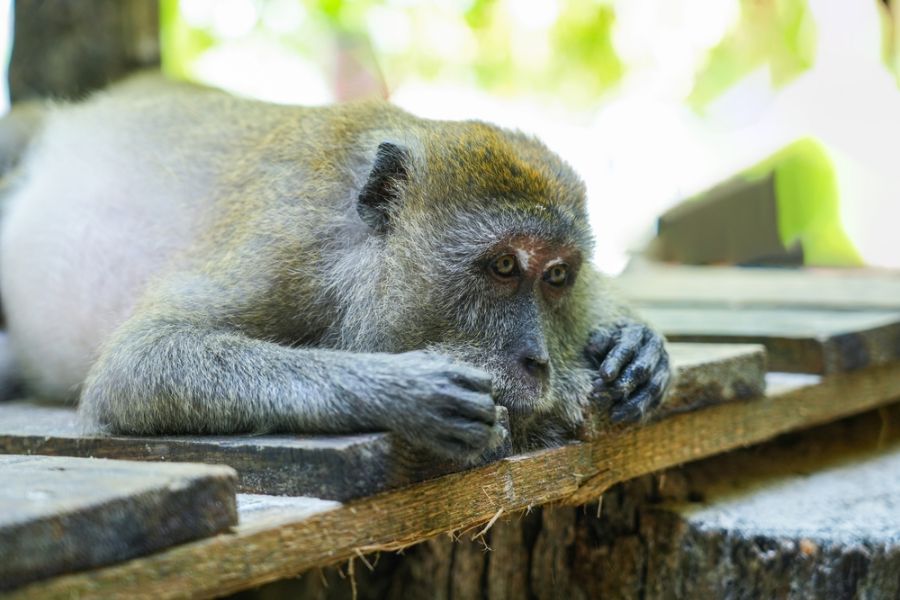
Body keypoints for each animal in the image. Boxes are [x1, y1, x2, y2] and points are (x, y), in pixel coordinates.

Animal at [0, 76, 668, 460]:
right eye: (505, 265)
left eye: (556, 276)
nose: (538, 361)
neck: (355, 246)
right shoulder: (287, 242)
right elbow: (138, 363)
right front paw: (404, 389)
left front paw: (635, 343)